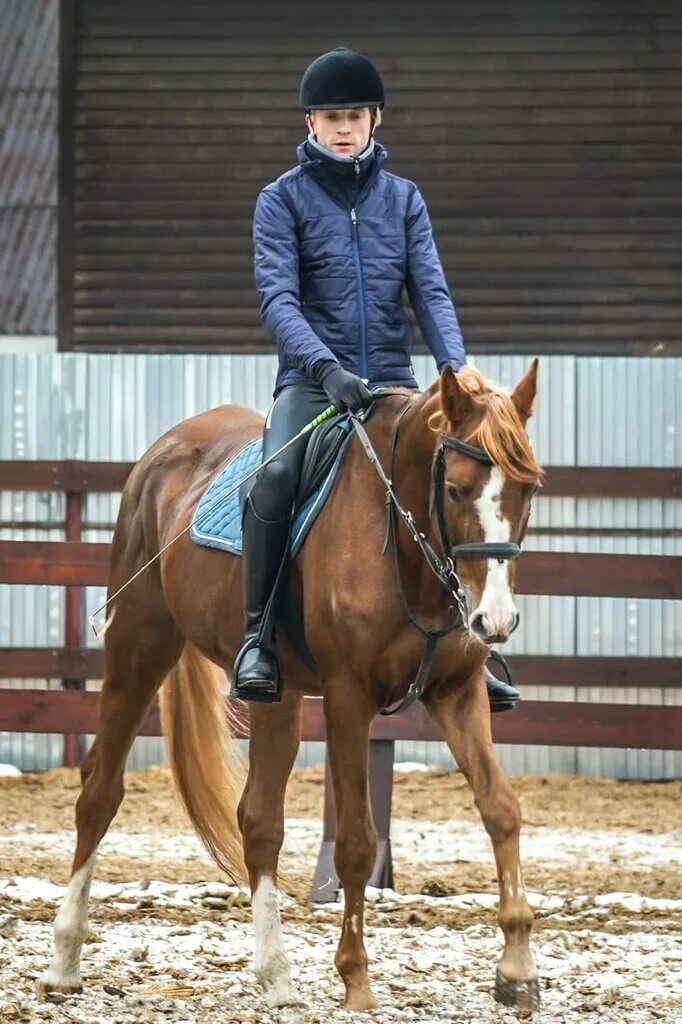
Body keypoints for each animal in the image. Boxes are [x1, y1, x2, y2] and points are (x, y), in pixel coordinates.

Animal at [41, 358, 540, 1007]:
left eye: (528, 489)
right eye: (455, 489)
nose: (496, 620)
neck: (404, 542)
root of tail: (166, 450)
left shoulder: (457, 691)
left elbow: (500, 807)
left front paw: (518, 970)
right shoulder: (349, 698)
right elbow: (356, 841)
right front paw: (356, 981)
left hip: (275, 696)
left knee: (258, 822)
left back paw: (275, 975)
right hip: (138, 650)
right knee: (99, 792)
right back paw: (64, 962)